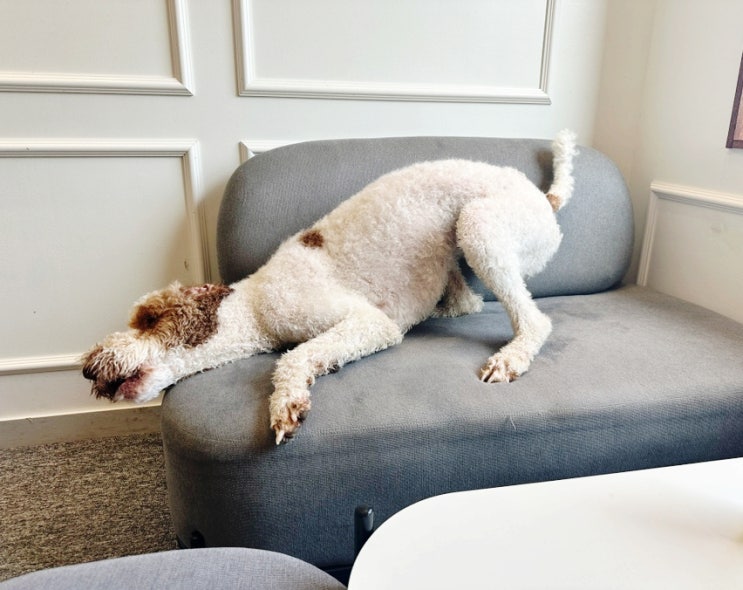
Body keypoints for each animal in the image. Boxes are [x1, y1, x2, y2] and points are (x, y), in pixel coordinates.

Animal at [82, 130, 577, 444]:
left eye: (148, 319)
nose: (87, 367)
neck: (254, 302)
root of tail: (543, 197)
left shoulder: (368, 322)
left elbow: (292, 358)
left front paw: (286, 403)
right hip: (455, 252)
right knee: (468, 301)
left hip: (480, 226)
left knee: (534, 321)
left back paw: (511, 357)